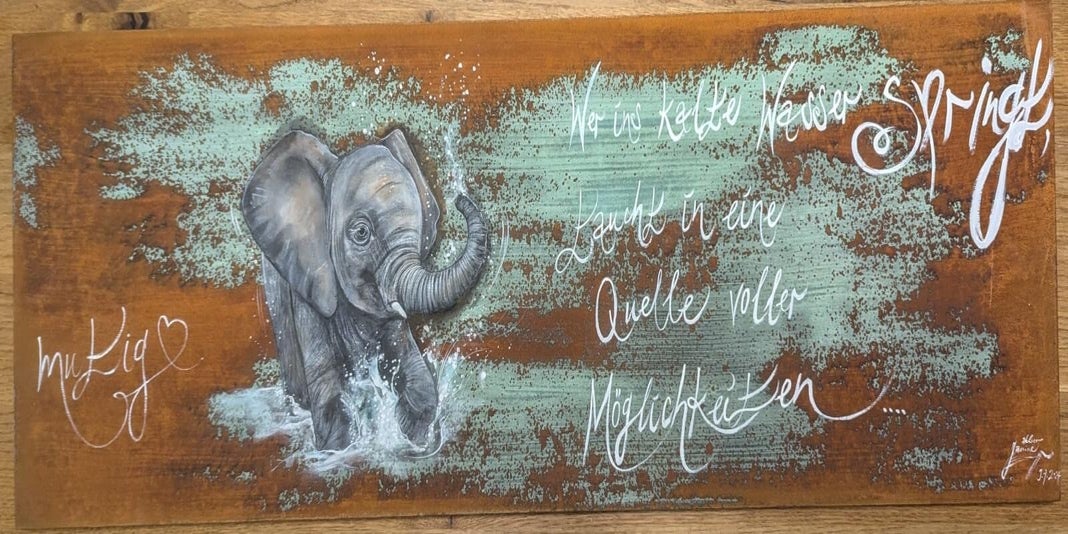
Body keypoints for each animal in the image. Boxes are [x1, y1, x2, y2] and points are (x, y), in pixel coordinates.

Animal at [241, 129, 489, 451]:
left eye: (423, 226)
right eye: (361, 233)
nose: (461, 198)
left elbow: (419, 382)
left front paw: (412, 442)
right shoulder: (308, 282)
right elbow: (330, 398)